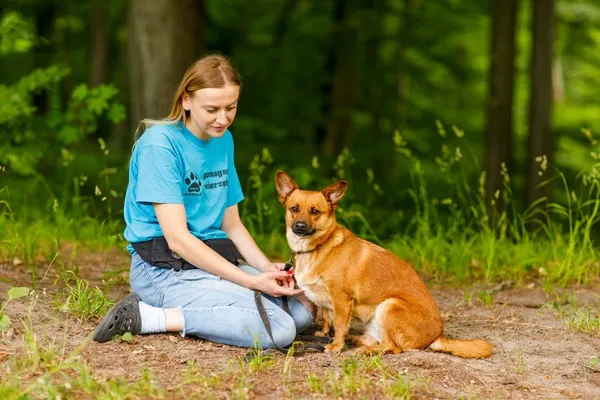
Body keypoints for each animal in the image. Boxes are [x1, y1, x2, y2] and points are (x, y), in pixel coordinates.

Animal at [276, 170, 492, 358]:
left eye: (315, 211)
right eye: (294, 208)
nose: (300, 226)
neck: (318, 246)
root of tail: (437, 336)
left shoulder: (341, 299)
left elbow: (339, 325)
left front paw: (336, 345)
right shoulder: (328, 302)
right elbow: (328, 319)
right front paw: (323, 335)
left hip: (389, 305)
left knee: (393, 347)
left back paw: (363, 350)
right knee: (377, 340)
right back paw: (356, 341)